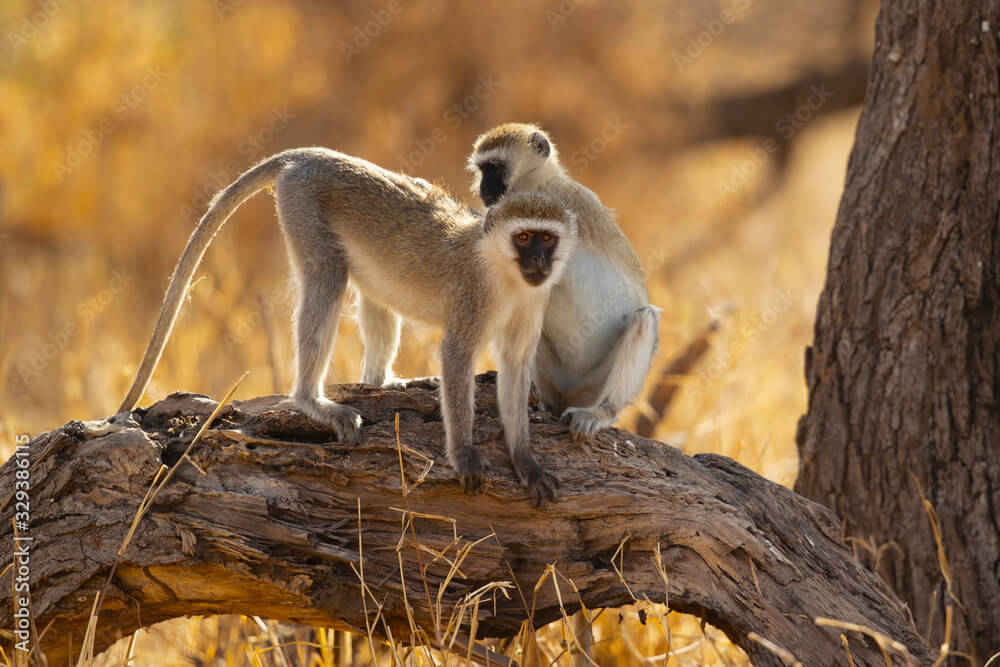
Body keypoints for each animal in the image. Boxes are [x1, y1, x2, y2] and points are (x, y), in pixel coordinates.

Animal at [119, 150, 580, 506]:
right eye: (524, 239)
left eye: (546, 239)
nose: (539, 264)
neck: (505, 274)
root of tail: (307, 155)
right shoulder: (474, 295)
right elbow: (457, 355)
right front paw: (464, 453)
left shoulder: (533, 302)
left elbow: (516, 367)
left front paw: (525, 461)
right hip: (302, 207)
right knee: (327, 277)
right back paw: (311, 401)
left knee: (373, 295)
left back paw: (379, 382)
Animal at [470, 124, 660, 438]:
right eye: (482, 169)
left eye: (494, 167)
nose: (483, 188)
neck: (540, 183)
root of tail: (567, 395)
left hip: (594, 384)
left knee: (644, 319)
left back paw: (601, 411)